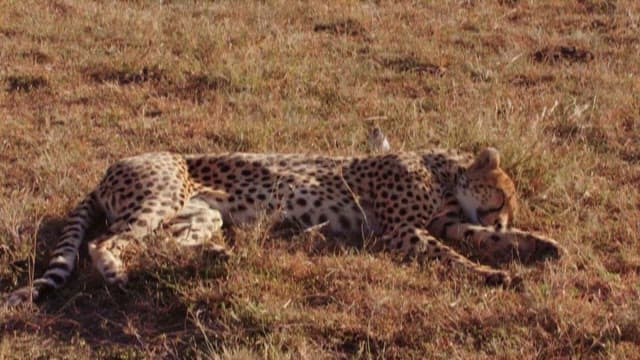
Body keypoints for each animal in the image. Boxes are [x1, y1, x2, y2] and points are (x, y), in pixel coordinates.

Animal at [7, 148, 564, 306]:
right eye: (503, 196)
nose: (506, 211)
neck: (444, 173)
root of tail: (113, 165)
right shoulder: (401, 232)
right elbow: (455, 253)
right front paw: (491, 274)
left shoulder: (446, 224)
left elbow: (483, 239)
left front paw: (539, 245)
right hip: (157, 198)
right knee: (108, 240)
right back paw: (116, 275)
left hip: (201, 213)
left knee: (164, 243)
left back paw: (217, 256)